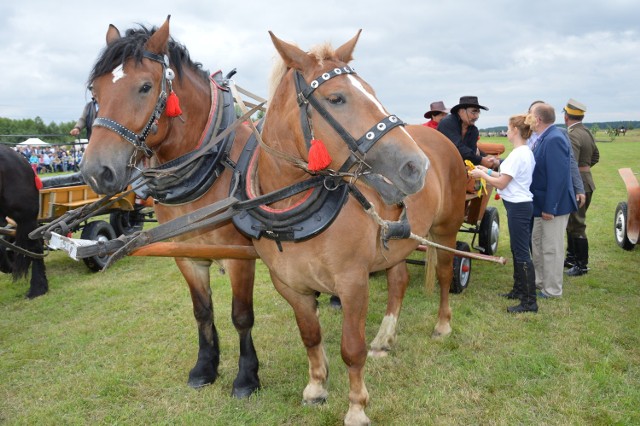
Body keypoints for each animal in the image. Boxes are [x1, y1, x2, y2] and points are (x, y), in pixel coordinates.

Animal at [79, 15, 258, 396]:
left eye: (146, 87)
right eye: (95, 93)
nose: (96, 172)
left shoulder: (240, 256)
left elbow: (241, 315)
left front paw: (247, 376)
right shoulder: (185, 254)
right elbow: (202, 311)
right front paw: (205, 367)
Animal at [244, 31, 464, 424]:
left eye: (372, 90)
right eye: (336, 98)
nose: (416, 166)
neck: (294, 211)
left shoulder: (352, 282)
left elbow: (351, 348)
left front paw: (357, 407)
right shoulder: (290, 285)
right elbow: (310, 336)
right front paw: (316, 387)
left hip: (446, 229)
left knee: (442, 274)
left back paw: (442, 325)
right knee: (398, 281)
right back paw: (384, 339)